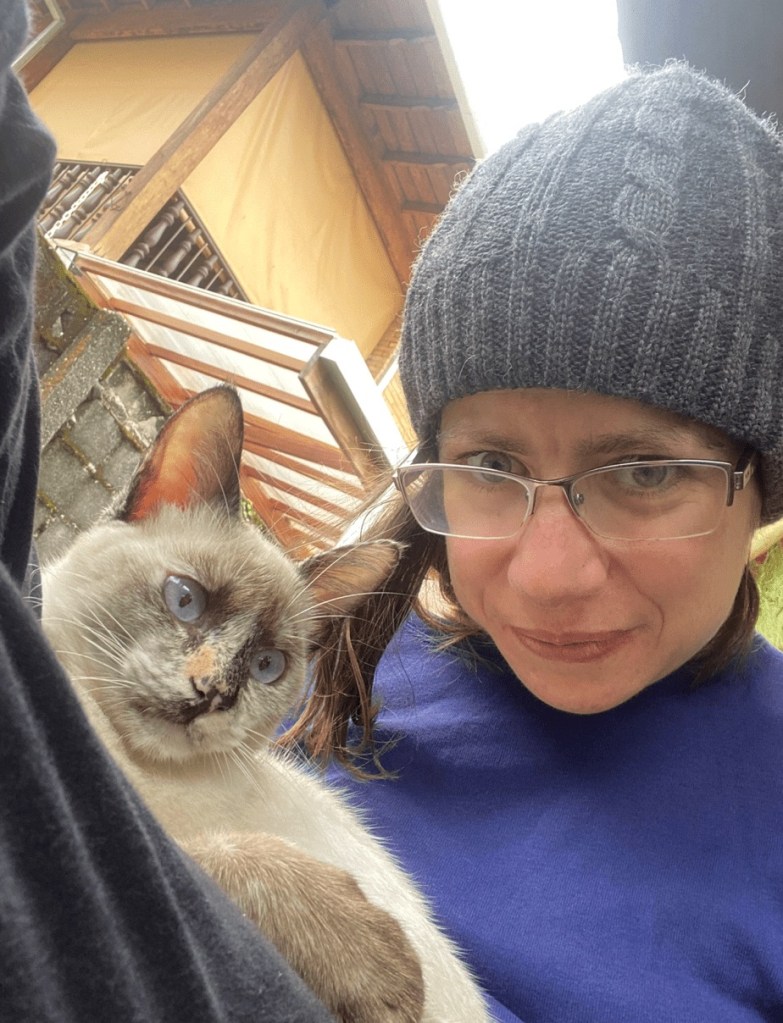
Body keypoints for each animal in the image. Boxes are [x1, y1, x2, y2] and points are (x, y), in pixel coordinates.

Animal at [41, 386, 490, 1023]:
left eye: (267, 666)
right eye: (185, 600)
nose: (213, 693)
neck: (138, 772)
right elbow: (226, 854)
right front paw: (378, 964)